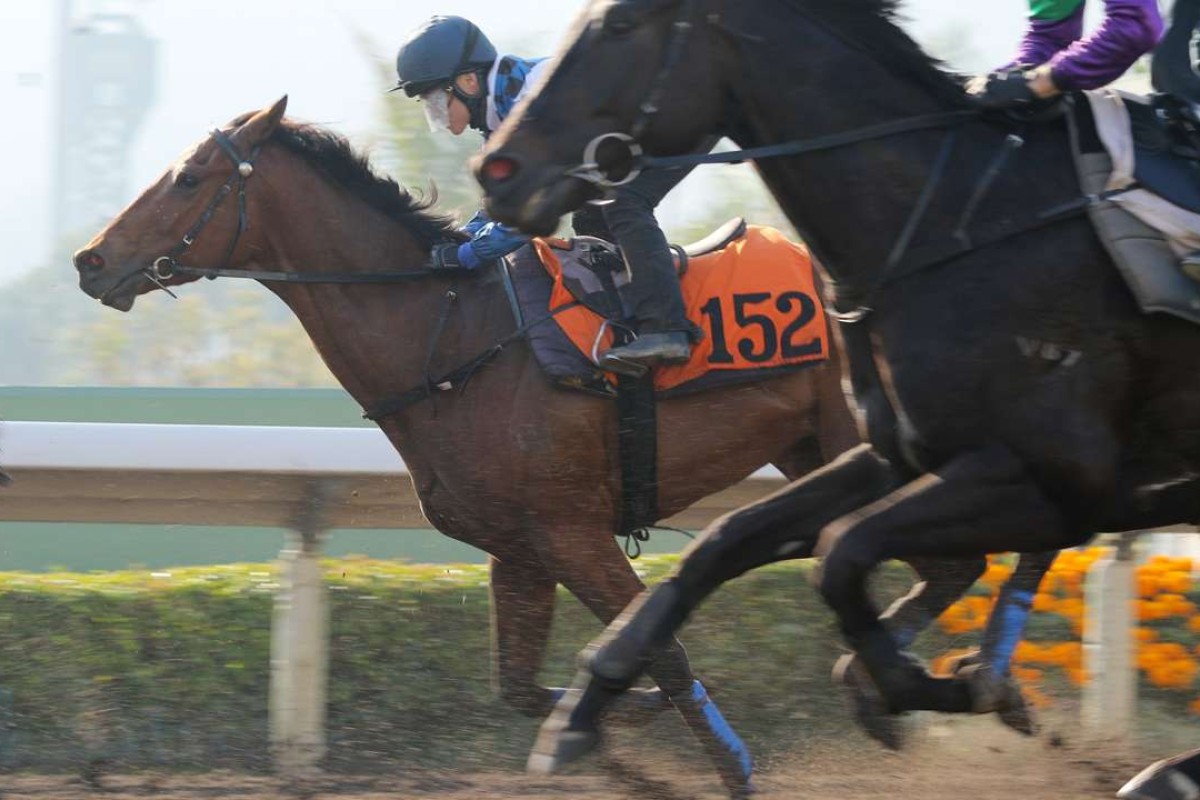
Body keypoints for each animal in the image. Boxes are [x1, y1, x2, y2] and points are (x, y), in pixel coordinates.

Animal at [72, 98, 1012, 796]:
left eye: (188, 177)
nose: (90, 261)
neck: (450, 337)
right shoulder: (517, 548)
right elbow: (521, 686)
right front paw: (611, 728)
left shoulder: (572, 531)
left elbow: (661, 650)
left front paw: (717, 761)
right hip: (820, 455)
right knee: (952, 564)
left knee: (959, 559)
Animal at [475, 0, 1200, 782]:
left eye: (621, 23)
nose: (497, 170)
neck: (956, 219)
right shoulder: (897, 455)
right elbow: (726, 540)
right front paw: (584, 705)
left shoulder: (1059, 483)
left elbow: (841, 553)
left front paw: (924, 686)